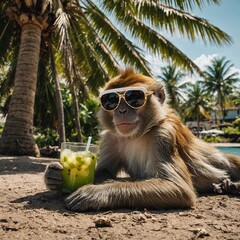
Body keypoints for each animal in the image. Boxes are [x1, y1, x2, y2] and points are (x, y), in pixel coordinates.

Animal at [44, 68, 240, 211]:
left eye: (134, 97)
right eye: (110, 100)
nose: (122, 110)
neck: (138, 134)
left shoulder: (164, 135)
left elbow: (179, 189)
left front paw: (95, 192)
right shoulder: (111, 137)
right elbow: (104, 170)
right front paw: (54, 175)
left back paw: (231, 185)